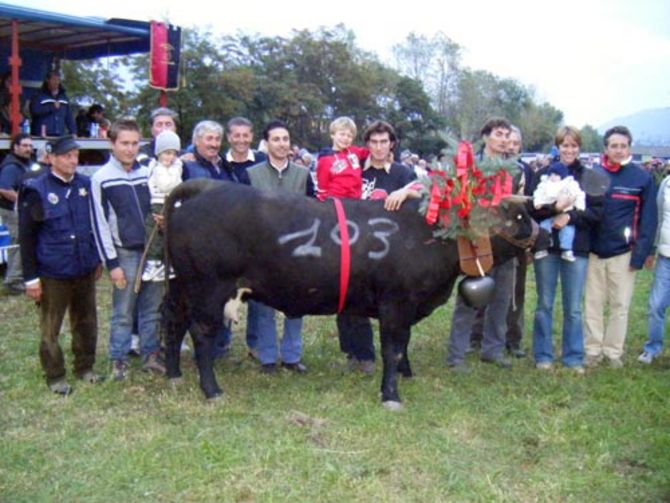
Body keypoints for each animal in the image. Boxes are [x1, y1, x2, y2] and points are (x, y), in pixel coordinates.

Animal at [163, 179, 544, 408]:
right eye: (520, 216)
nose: (544, 237)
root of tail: (207, 187)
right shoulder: (396, 303)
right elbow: (392, 347)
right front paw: (391, 394)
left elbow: (402, 345)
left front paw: (405, 373)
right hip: (209, 289)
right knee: (200, 333)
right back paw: (212, 390)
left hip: (182, 286)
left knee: (173, 323)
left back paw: (173, 374)